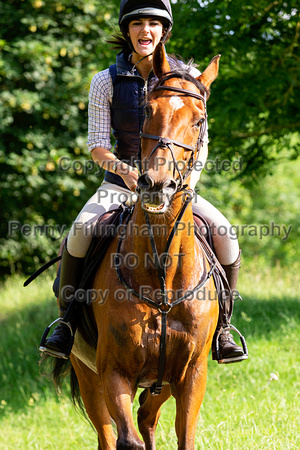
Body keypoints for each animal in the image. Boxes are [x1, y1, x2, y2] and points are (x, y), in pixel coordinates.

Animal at [63, 43, 220, 450]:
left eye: (199, 121)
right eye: (147, 110)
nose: (156, 186)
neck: (162, 275)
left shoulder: (191, 375)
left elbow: (183, 436)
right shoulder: (113, 372)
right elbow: (126, 440)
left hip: (160, 383)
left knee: (147, 418)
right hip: (87, 374)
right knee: (108, 434)